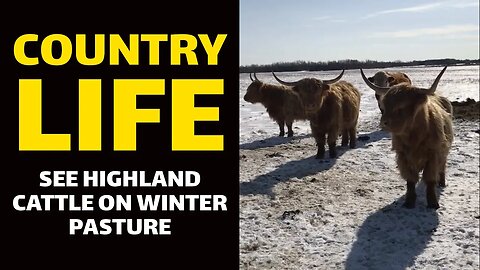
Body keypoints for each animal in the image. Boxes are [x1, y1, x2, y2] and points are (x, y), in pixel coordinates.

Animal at [360, 67, 454, 209]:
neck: (414, 136)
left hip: (444, 150)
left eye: (401, 106)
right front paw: (409, 201)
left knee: (442, 165)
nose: (384, 122)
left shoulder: (433, 154)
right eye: (385, 105)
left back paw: (442, 182)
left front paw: (433, 203)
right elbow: (410, 180)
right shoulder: (402, 156)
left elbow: (430, 179)